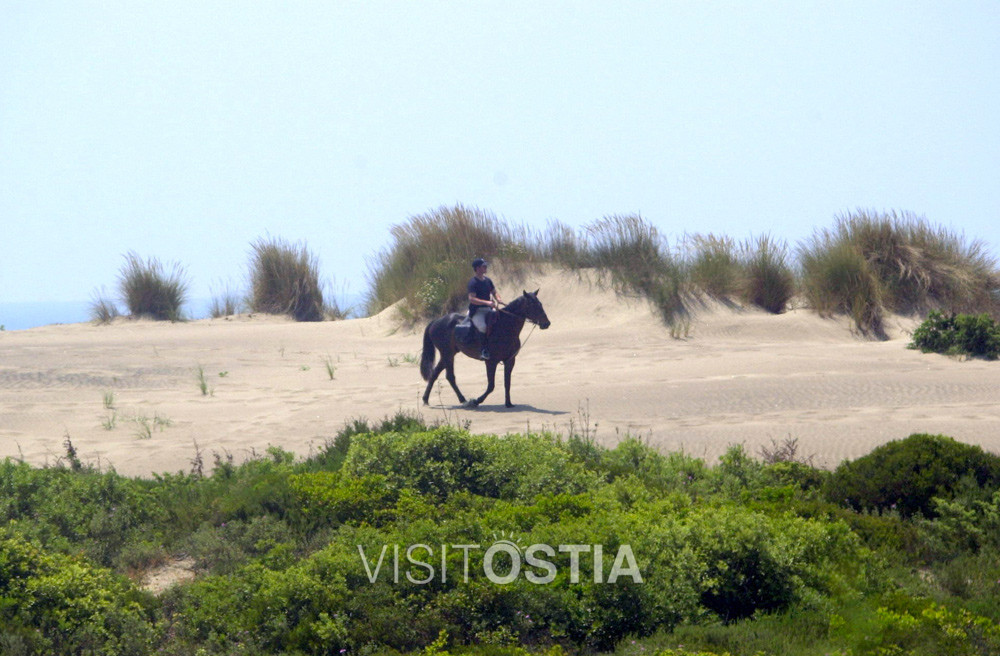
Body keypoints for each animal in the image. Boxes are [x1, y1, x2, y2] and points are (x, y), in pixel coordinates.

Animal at [418, 290, 552, 408]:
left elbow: (507, 382)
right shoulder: (491, 362)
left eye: (540, 304)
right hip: (447, 354)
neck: (505, 326)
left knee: (435, 373)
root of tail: (436, 321)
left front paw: (508, 403)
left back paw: (426, 399)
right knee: (450, 376)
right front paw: (477, 401)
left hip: (448, 354)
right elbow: (491, 386)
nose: (546, 324)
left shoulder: (510, 360)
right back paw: (464, 400)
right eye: (532, 305)